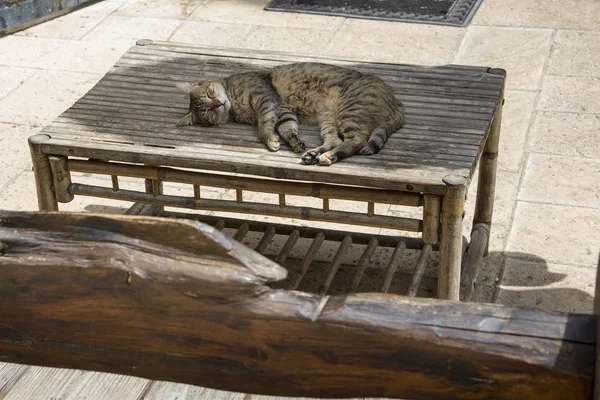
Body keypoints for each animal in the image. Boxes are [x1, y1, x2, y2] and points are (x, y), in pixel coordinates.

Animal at [176, 62, 406, 166]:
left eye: (210, 93)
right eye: (207, 111)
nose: (218, 103)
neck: (234, 104)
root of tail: (397, 102)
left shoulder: (266, 99)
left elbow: (264, 127)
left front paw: (270, 140)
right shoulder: (283, 110)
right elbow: (287, 128)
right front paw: (293, 141)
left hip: (349, 112)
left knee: (356, 141)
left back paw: (327, 157)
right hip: (329, 119)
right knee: (334, 140)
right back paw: (314, 154)